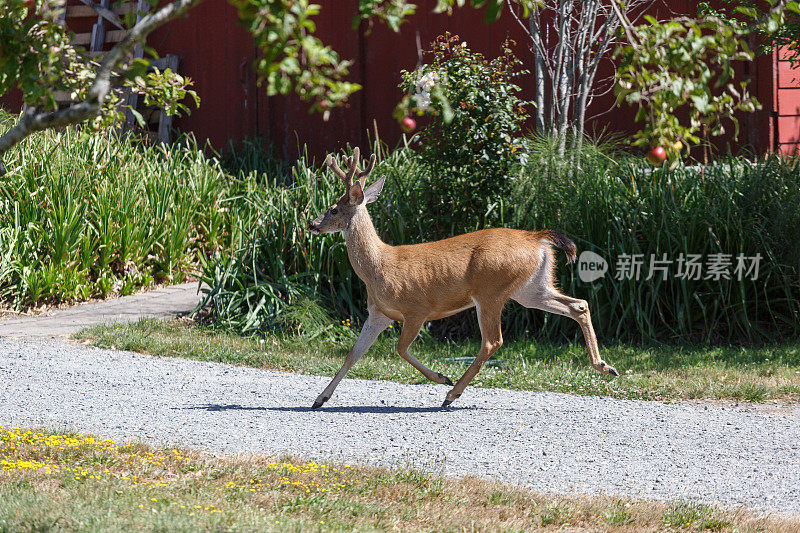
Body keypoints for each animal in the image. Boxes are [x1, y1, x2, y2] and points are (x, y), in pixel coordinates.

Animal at [308, 145, 620, 408]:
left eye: (333, 209)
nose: (312, 223)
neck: (379, 268)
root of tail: (537, 238)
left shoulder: (417, 308)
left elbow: (400, 348)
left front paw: (440, 377)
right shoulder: (379, 312)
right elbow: (353, 353)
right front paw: (320, 399)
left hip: (491, 289)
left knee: (493, 341)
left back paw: (451, 393)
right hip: (531, 288)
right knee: (579, 305)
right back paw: (605, 366)